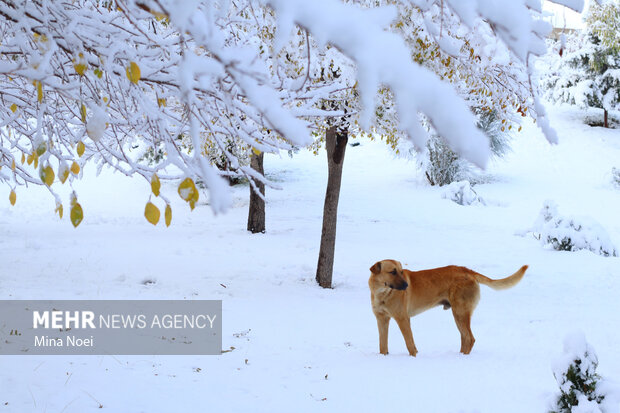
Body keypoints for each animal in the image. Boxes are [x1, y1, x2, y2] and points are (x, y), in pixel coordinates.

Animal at [368, 260, 528, 354]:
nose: (407, 285)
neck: (382, 293)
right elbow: (382, 345)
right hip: (458, 315)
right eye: (392, 272)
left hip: (460, 312)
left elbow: (410, 345)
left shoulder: (403, 319)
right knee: (465, 338)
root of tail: (468, 271)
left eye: (401, 271)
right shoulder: (381, 320)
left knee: (470, 338)